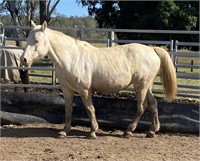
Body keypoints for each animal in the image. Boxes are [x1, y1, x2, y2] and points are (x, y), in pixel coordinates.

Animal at [20, 21, 177, 138]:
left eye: (37, 40)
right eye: (27, 39)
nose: (23, 59)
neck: (72, 58)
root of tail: (152, 50)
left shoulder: (84, 90)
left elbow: (90, 109)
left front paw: (93, 131)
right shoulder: (67, 90)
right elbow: (68, 109)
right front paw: (64, 131)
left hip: (141, 86)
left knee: (142, 107)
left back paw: (128, 131)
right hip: (146, 86)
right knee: (153, 104)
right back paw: (151, 131)